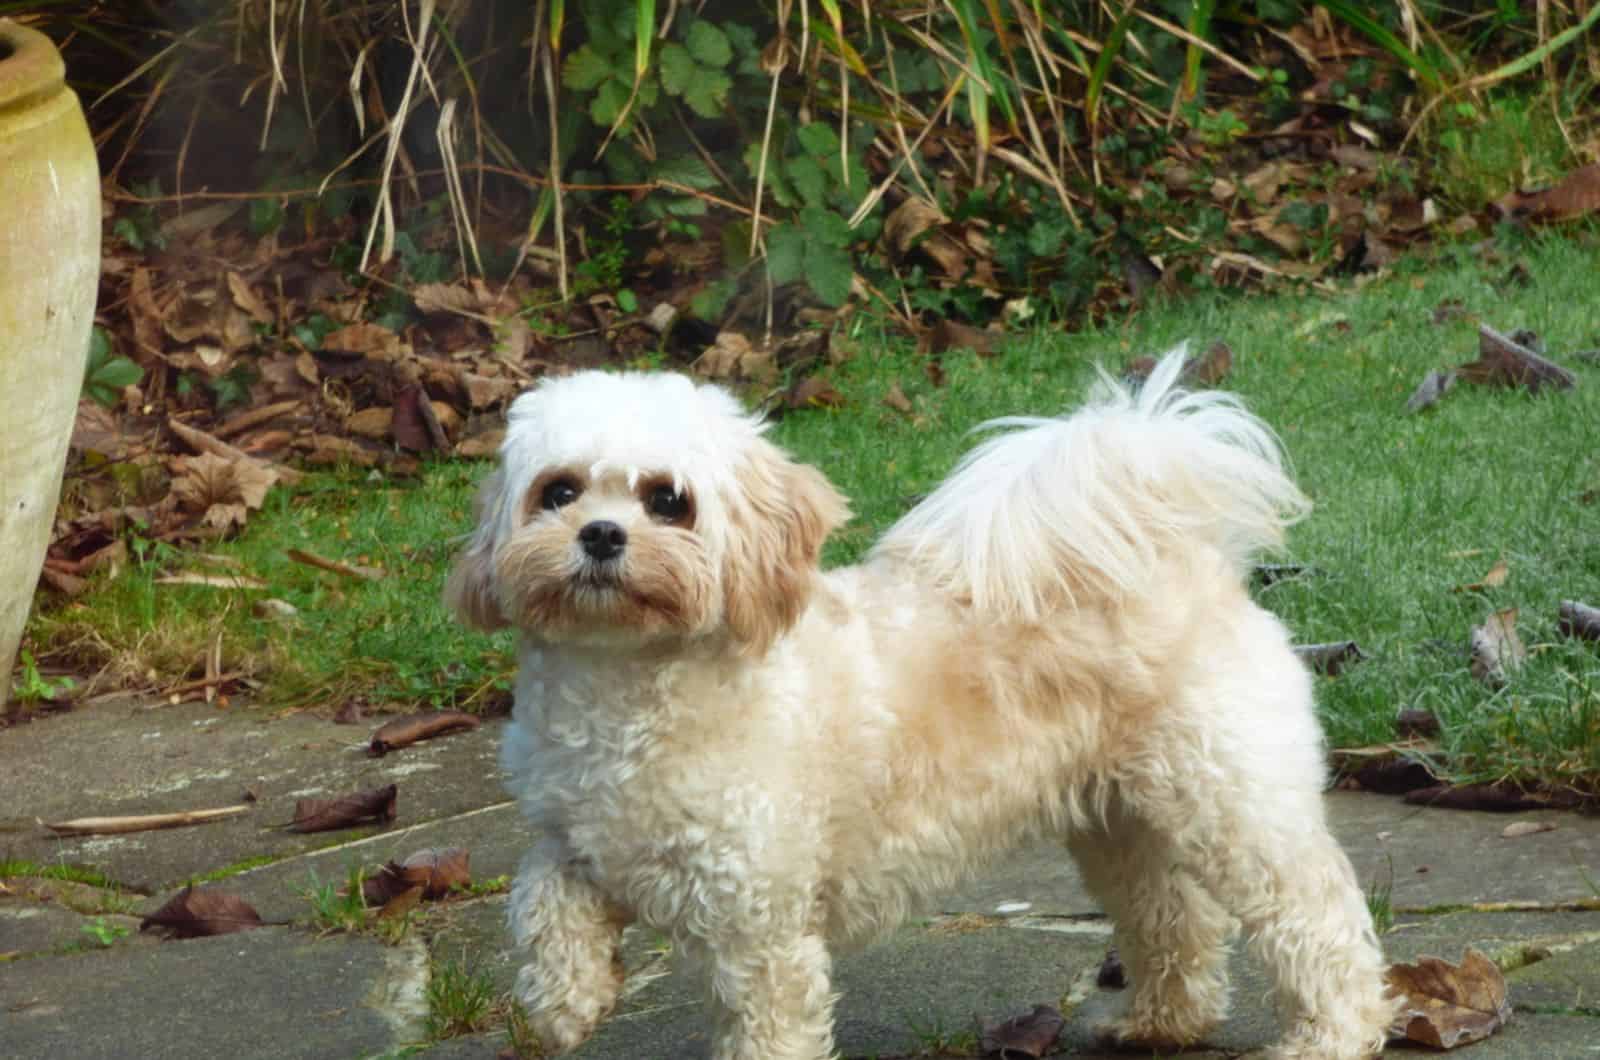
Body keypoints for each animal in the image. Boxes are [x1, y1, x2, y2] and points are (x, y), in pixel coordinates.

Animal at [444, 352, 1395, 1056]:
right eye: (558, 490)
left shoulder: (761, 926)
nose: (601, 535)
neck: (630, 691)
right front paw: (566, 999)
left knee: (1315, 915)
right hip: (1122, 821)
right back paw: (1158, 1022)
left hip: (1235, 805)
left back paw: (1331, 1035)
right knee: (1175, 919)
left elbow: (767, 1027)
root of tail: (1179, 553)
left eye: (667, 500)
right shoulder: (574, 841)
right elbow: (539, 901)